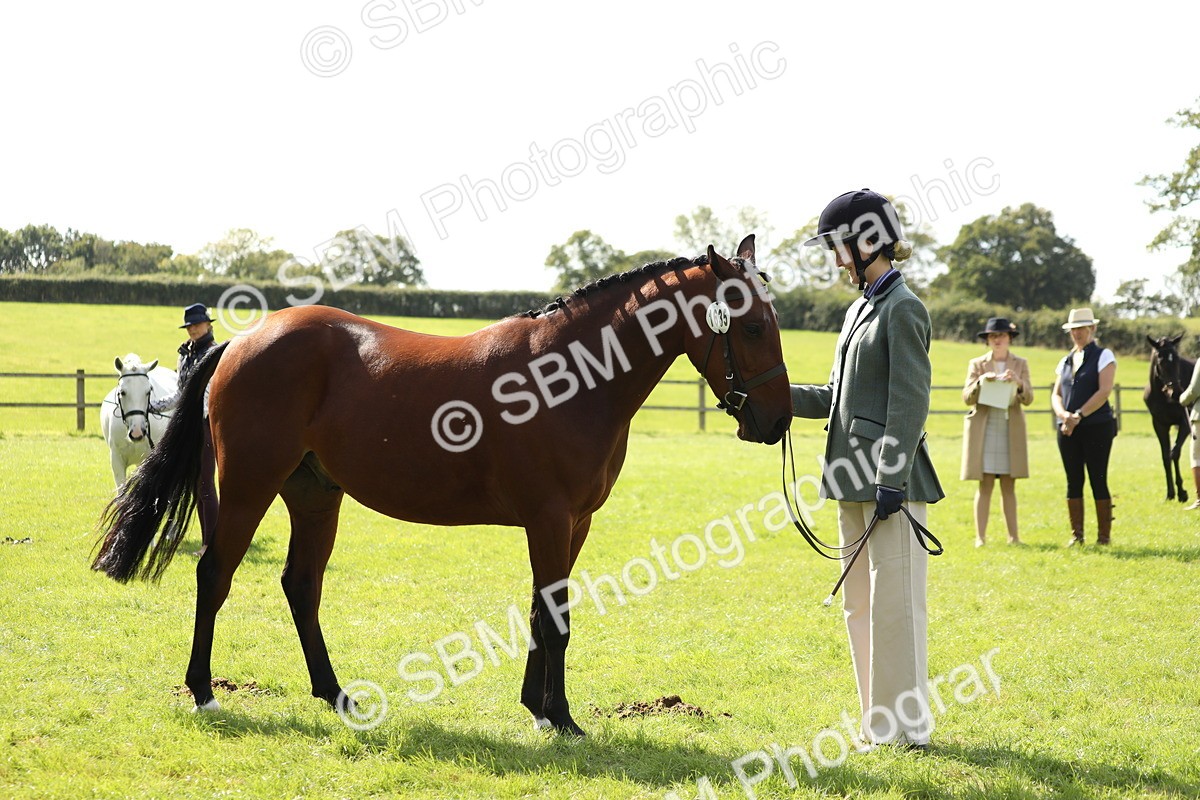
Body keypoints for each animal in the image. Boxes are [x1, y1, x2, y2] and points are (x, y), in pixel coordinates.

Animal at [1144, 335, 1195, 503]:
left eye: (1177, 359)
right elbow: (1166, 457)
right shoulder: (1159, 425)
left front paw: (1182, 492)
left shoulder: (1185, 424)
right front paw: (1170, 493)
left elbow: (1175, 453)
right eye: (1160, 360)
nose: (1177, 392)